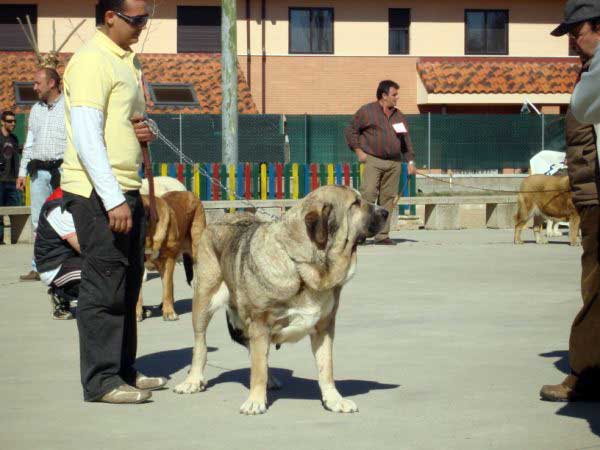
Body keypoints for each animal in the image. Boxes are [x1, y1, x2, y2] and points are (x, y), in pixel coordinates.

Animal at [173, 185, 390, 414]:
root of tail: (220, 220)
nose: (385, 212)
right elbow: (258, 368)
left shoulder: (324, 327)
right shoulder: (259, 323)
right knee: (201, 343)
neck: (303, 267)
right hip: (204, 300)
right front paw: (255, 401)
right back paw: (193, 380)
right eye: (355, 204)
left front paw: (334, 399)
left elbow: (326, 367)